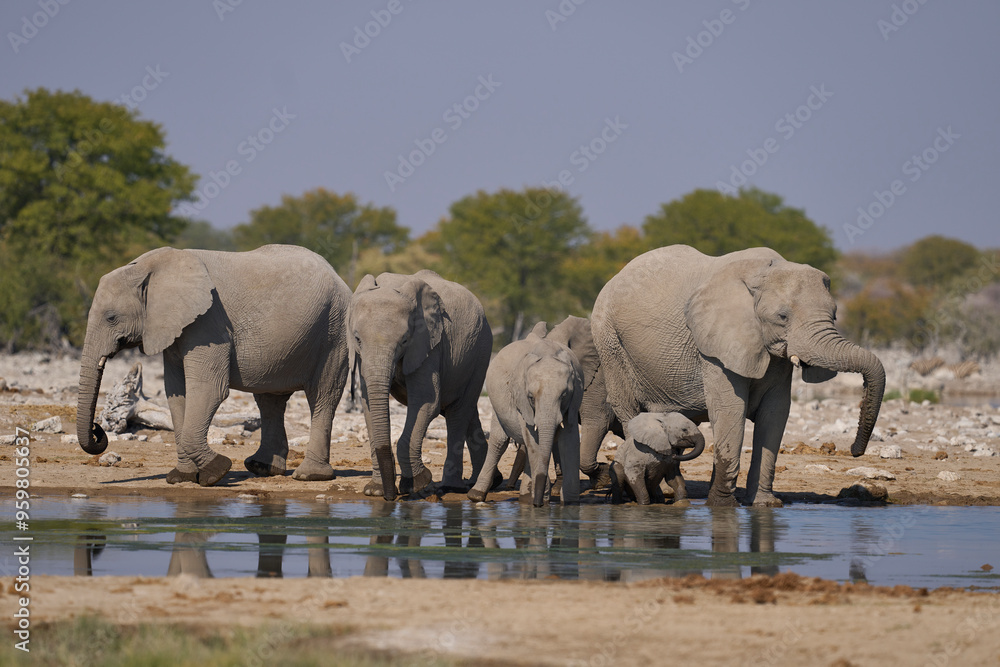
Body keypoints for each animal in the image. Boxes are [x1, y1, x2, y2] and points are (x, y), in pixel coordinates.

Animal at [76, 245, 352, 486]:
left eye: (111, 318)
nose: (98, 429)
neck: (147, 268)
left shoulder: (207, 323)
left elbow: (207, 389)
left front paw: (217, 472)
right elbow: (176, 393)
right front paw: (181, 478)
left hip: (334, 331)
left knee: (322, 395)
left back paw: (310, 476)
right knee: (270, 400)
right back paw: (262, 468)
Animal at [348, 270, 492, 500]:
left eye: (405, 340)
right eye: (357, 339)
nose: (391, 498)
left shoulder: (429, 344)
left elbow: (426, 402)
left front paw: (416, 484)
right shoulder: (362, 357)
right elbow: (368, 405)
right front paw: (375, 491)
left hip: (481, 352)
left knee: (458, 412)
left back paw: (451, 487)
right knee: (467, 409)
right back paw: (490, 482)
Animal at [468, 322, 584, 506]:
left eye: (564, 395)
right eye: (531, 397)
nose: (538, 504)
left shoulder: (574, 401)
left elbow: (569, 439)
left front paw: (570, 504)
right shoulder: (521, 400)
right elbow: (532, 437)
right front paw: (540, 500)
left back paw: (525, 497)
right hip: (497, 404)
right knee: (499, 441)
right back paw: (476, 496)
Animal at [592, 245, 885, 507]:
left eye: (834, 314)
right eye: (782, 316)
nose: (855, 451)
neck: (764, 272)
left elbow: (775, 412)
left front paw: (765, 504)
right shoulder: (715, 346)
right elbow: (731, 409)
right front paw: (722, 506)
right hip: (610, 343)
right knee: (631, 412)